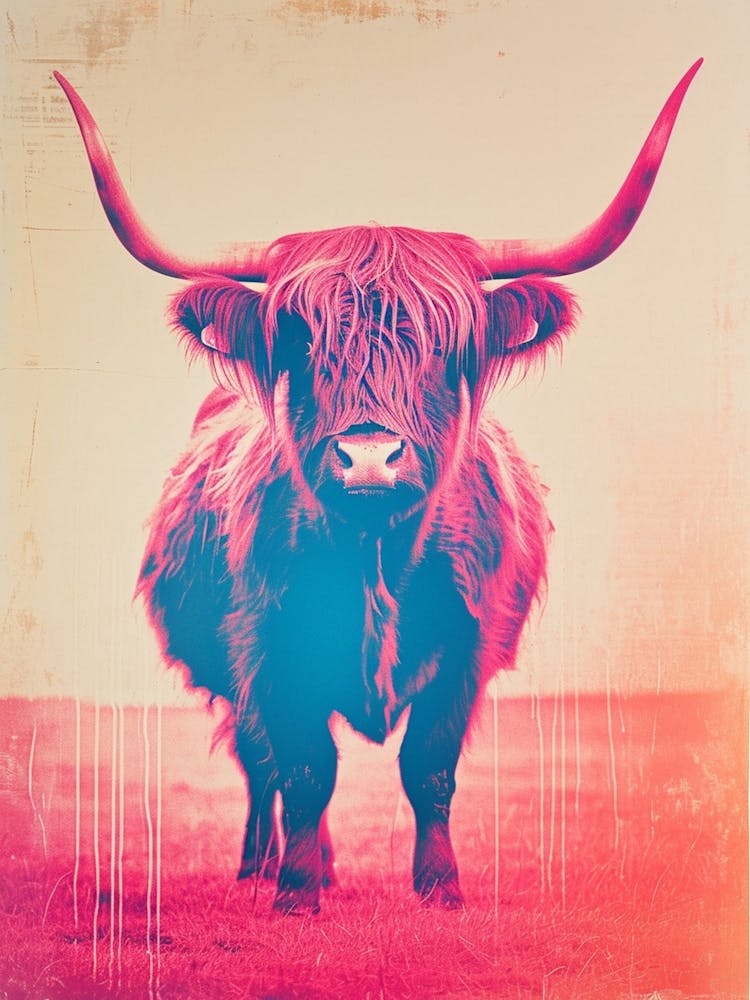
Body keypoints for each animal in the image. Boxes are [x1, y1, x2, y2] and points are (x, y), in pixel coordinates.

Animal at [55, 61, 701, 915]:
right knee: (261, 765)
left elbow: (428, 766)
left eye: (446, 343)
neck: (375, 555)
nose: (368, 458)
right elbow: (302, 765)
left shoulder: (469, 644)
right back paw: (268, 864)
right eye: (298, 339)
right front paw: (298, 890)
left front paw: (440, 886)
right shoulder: (268, 642)